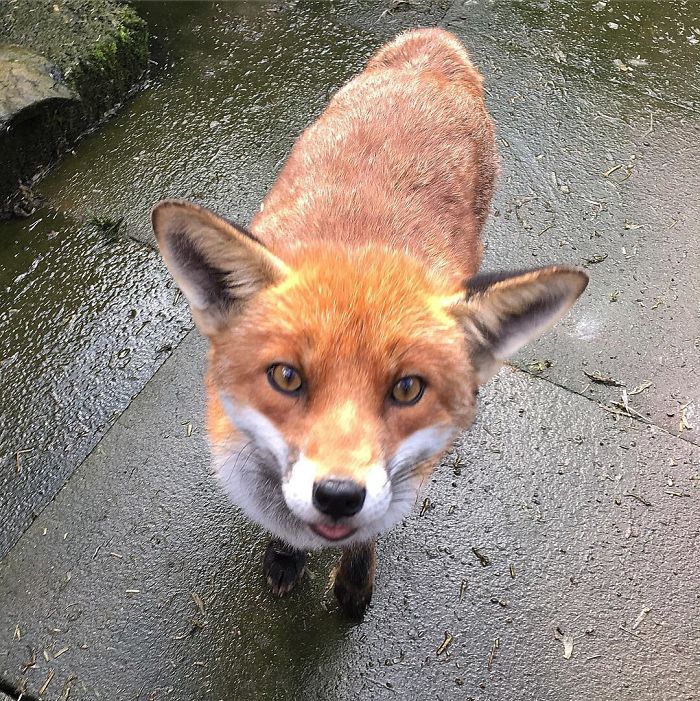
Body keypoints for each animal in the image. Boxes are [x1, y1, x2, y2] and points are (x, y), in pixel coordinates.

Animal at [151, 28, 588, 618]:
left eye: (407, 389)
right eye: (286, 377)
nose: (338, 497)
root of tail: (431, 46)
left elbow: (364, 542)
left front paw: (354, 587)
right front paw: (285, 558)